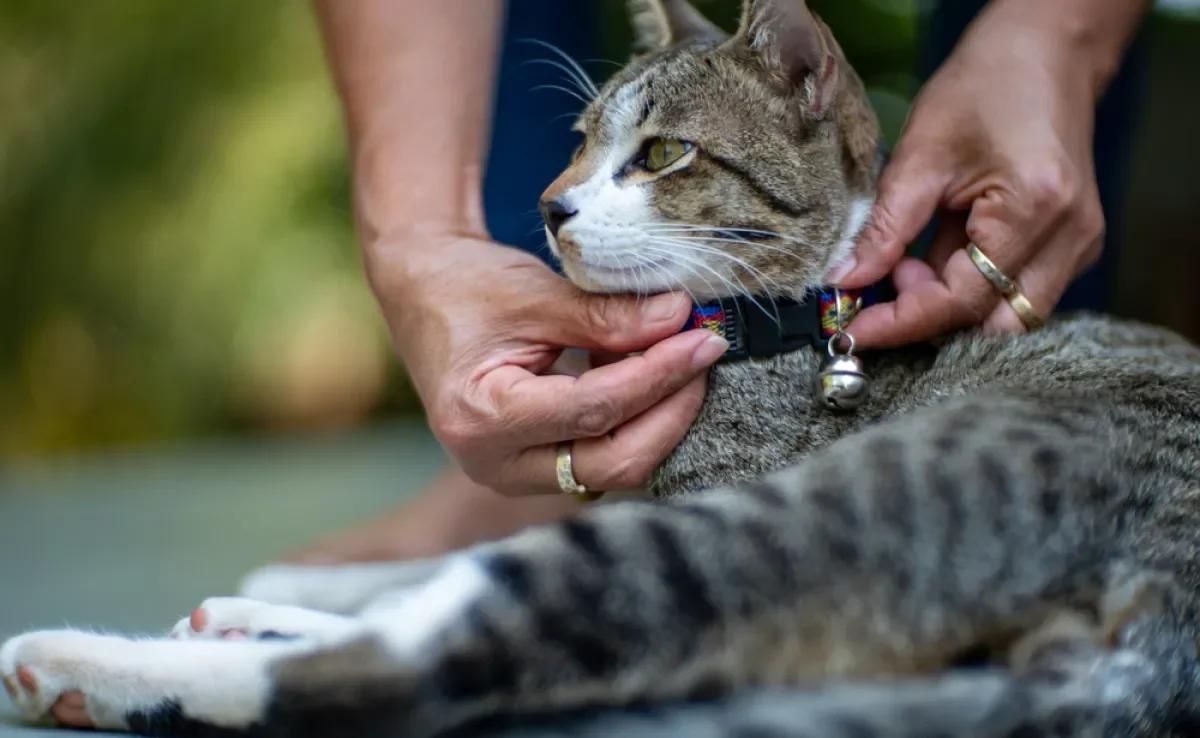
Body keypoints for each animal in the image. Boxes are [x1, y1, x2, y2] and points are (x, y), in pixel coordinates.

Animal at [2, 1, 1200, 738]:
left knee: (449, 659)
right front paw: (307, 581)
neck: (786, 327)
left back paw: (76, 664)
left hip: (829, 510)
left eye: (664, 154)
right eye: (580, 139)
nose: (550, 205)